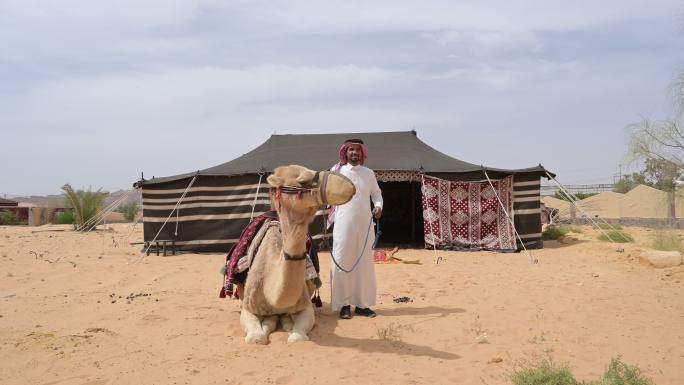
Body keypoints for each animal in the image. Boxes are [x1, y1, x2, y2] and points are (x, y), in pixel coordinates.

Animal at [239, 164, 356, 344]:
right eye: (302, 180)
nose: (349, 185)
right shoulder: (248, 307)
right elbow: (256, 337)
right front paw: (267, 327)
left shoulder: (305, 306)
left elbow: (298, 337)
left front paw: (287, 324)